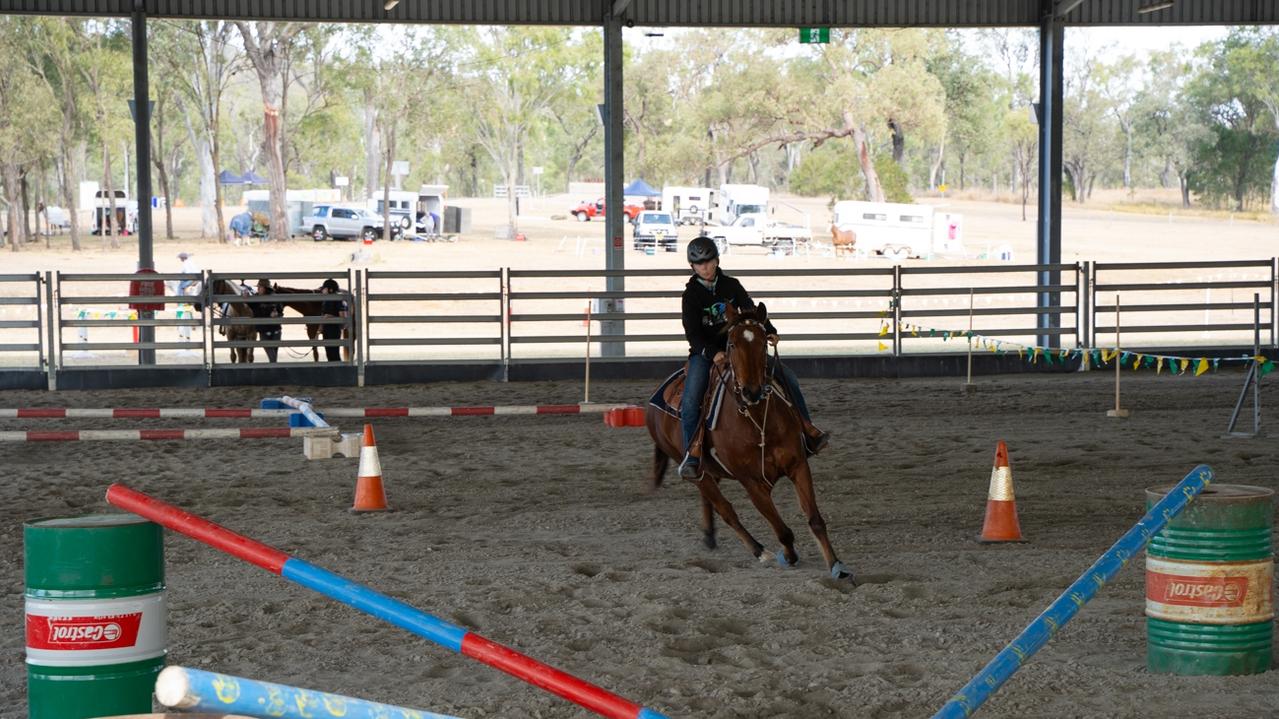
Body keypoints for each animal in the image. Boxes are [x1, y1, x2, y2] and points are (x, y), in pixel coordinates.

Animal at [644, 300, 854, 575]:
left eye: (764, 342)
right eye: (732, 344)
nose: (751, 391)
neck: (757, 422)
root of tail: (654, 400)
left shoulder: (798, 466)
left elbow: (815, 519)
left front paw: (837, 566)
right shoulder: (751, 483)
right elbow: (782, 530)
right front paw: (787, 556)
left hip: (711, 470)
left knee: (710, 502)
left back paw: (710, 536)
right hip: (694, 470)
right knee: (725, 509)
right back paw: (759, 551)